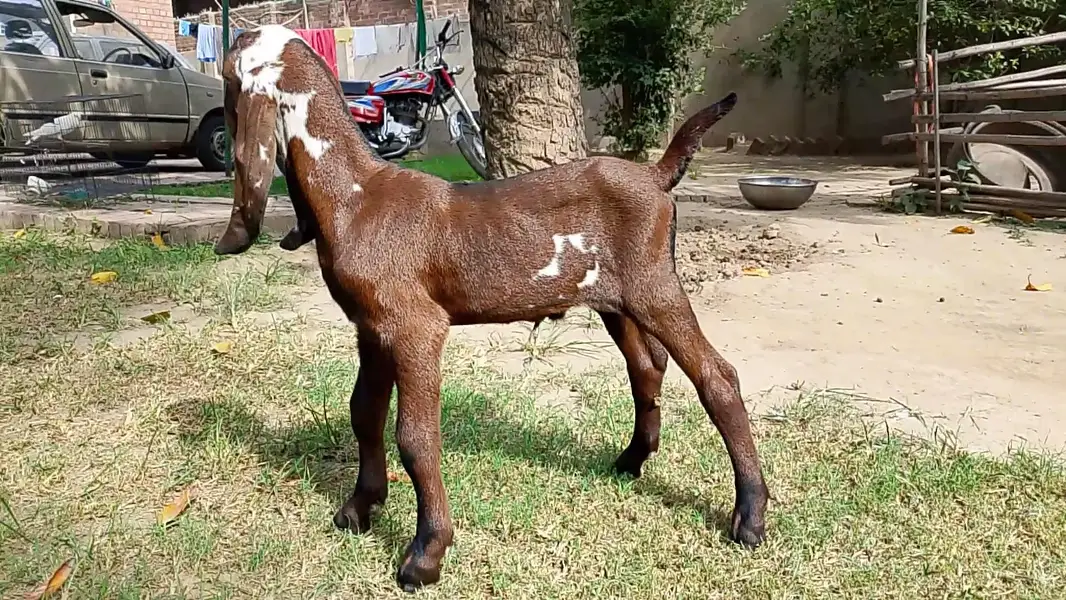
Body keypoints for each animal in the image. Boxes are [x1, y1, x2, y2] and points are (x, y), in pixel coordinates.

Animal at [215, 25, 769, 592]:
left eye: (229, 72)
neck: (357, 194)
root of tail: (655, 176)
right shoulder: (371, 328)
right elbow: (363, 414)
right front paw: (358, 509)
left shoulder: (415, 328)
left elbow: (414, 437)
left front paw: (425, 553)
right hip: (617, 301)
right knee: (647, 367)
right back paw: (632, 459)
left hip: (656, 288)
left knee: (717, 378)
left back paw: (750, 515)